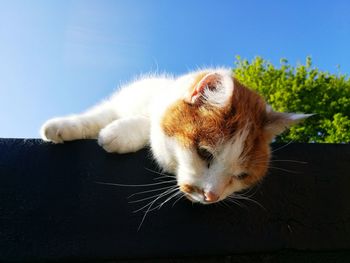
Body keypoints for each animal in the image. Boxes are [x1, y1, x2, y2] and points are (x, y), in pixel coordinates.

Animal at [39, 68, 310, 204]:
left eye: (241, 176)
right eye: (204, 153)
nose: (212, 196)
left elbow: (146, 123)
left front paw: (118, 134)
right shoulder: (121, 102)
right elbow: (96, 116)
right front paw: (61, 126)